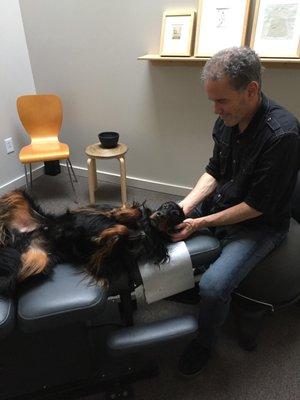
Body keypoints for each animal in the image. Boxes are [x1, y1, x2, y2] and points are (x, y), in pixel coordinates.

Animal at [0, 189, 184, 296]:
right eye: (165, 205)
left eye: (175, 215)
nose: (160, 215)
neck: (147, 227)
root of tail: (17, 239)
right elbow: (133, 213)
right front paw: (119, 215)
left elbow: (121, 234)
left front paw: (104, 236)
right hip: (18, 194)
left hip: (38, 260)